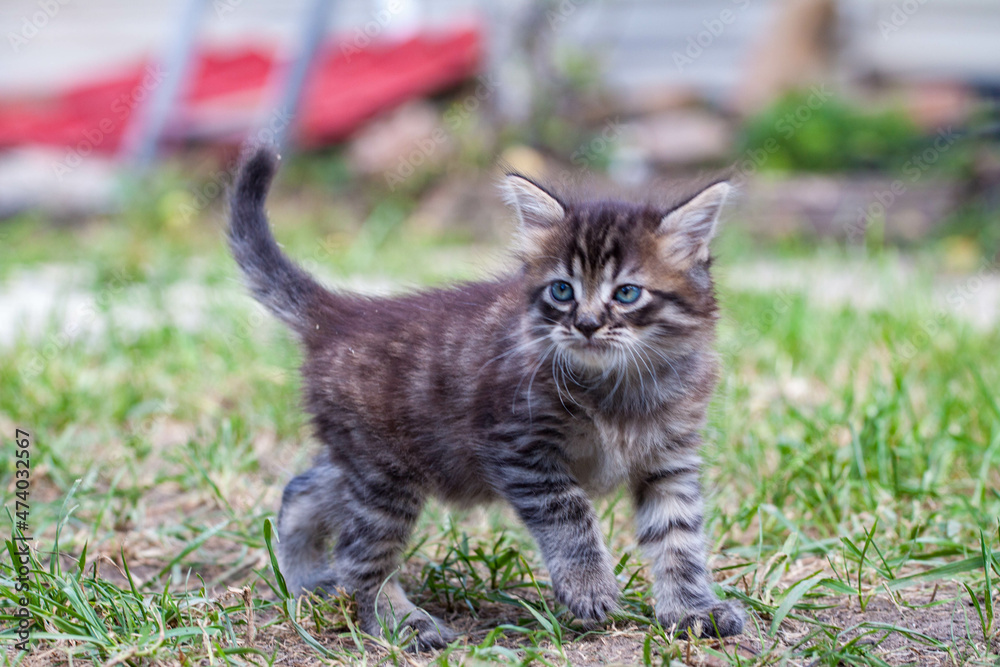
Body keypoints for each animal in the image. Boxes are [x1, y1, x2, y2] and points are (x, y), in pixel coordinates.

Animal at [227, 147, 744, 652]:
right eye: (562, 291)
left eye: (627, 293)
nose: (586, 324)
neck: (620, 386)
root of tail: (343, 317)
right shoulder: (519, 449)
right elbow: (570, 513)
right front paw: (589, 587)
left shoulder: (669, 460)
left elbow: (679, 539)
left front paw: (692, 610)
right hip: (385, 476)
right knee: (358, 558)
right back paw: (400, 622)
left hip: (370, 463)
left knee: (302, 490)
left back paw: (302, 579)